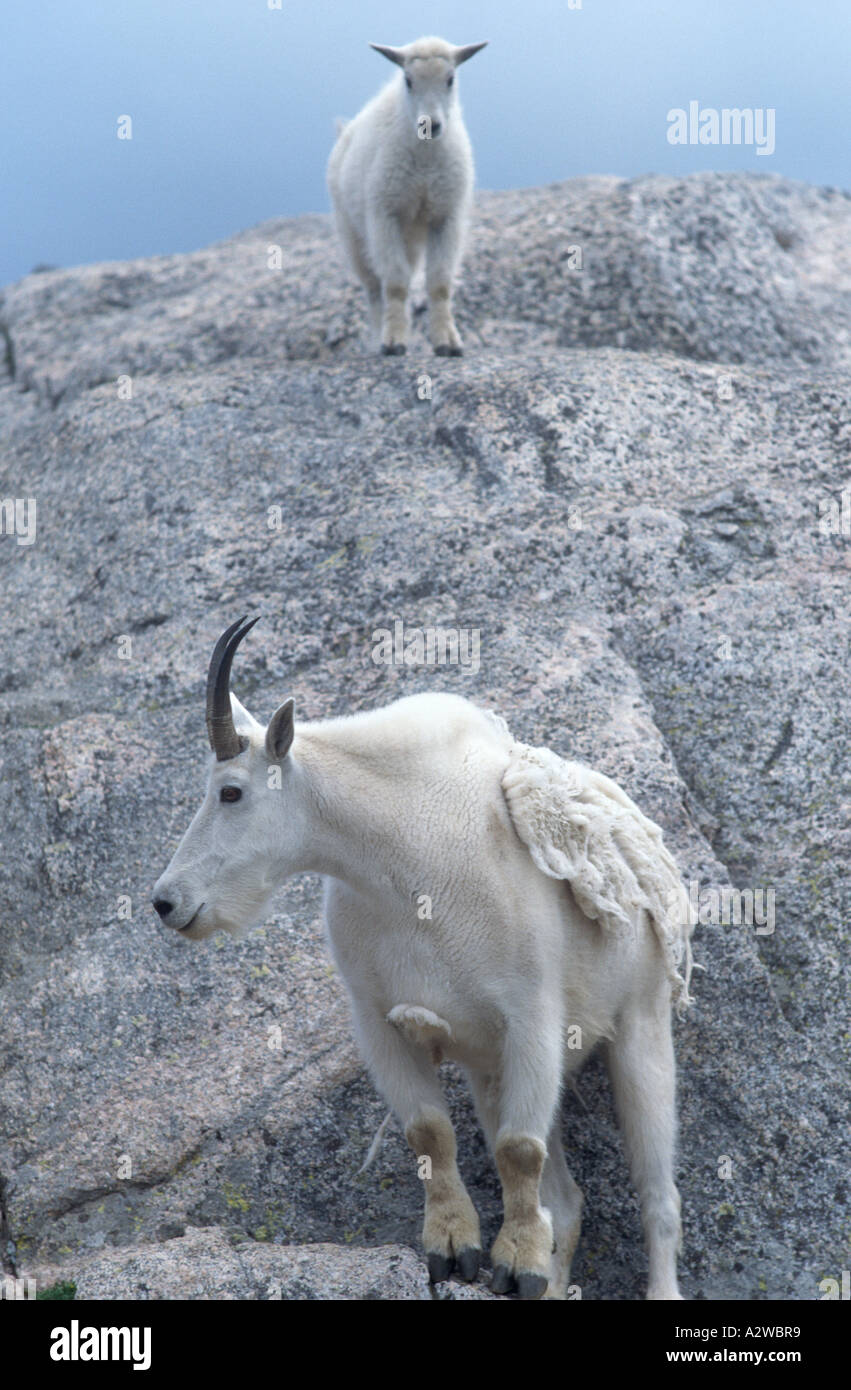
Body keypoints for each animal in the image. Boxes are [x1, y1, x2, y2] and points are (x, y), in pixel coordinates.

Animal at [153, 617, 695, 1299]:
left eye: (230, 792)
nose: (167, 901)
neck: (403, 859)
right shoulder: (378, 1018)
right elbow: (429, 1133)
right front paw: (453, 1249)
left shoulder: (533, 1017)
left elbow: (519, 1149)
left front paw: (516, 1262)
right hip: (492, 1070)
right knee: (566, 1201)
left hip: (642, 1025)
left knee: (659, 1197)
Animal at [327, 36, 487, 356]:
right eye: (408, 80)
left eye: (450, 79)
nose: (431, 125)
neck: (424, 162)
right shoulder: (385, 215)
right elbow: (396, 283)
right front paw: (394, 341)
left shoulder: (446, 216)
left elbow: (439, 282)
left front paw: (447, 341)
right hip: (354, 235)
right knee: (374, 287)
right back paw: (378, 337)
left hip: (410, 237)